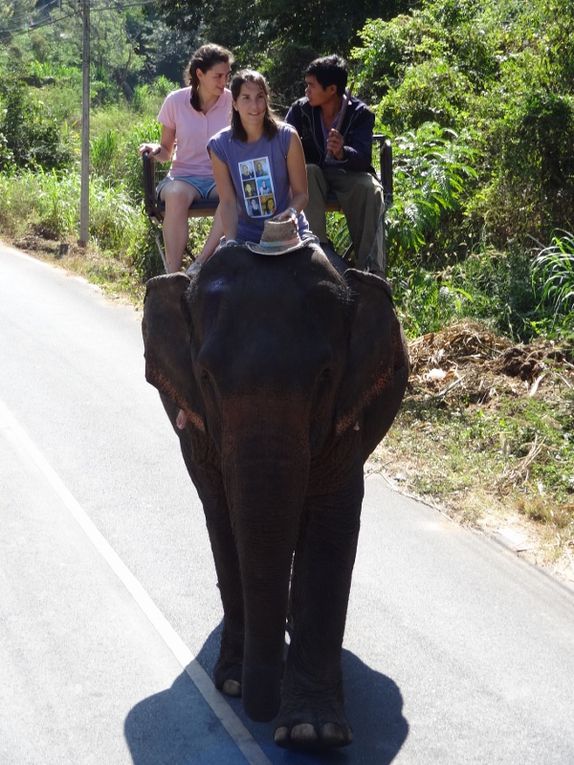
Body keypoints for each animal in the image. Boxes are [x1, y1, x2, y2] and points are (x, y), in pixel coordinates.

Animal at [142, 242, 410, 748]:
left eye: (325, 376)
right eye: (205, 377)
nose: (258, 713)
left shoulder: (345, 416)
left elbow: (332, 522)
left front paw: (311, 732)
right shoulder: (199, 430)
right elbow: (223, 516)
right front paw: (233, 682)